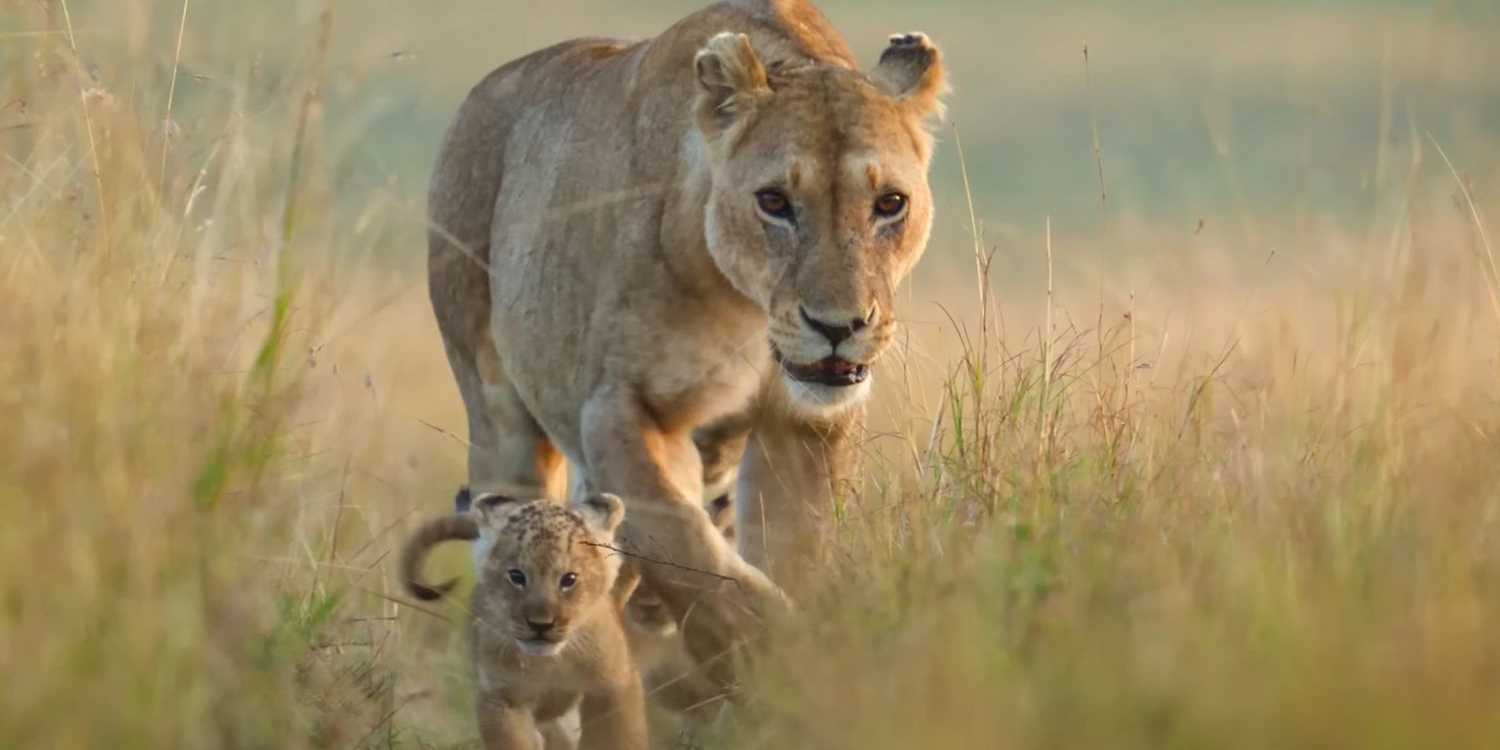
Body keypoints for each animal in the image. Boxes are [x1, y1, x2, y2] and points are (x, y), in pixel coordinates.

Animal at [400, 492, 646, 750]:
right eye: (516, 576)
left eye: (569, 579)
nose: (540, 625)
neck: (549, 663)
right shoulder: (501, 697)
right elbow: (512, 739)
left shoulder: (614, 685)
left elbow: (615, 737)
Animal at [426, 0, 948, 690]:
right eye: (774, 201)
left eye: (890, 203)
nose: (838, 327)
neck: (750, 312)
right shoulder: (622, 410)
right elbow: (691, 552)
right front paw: (767, 651)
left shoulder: (806, 429)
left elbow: (794, 551)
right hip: (498, 416)